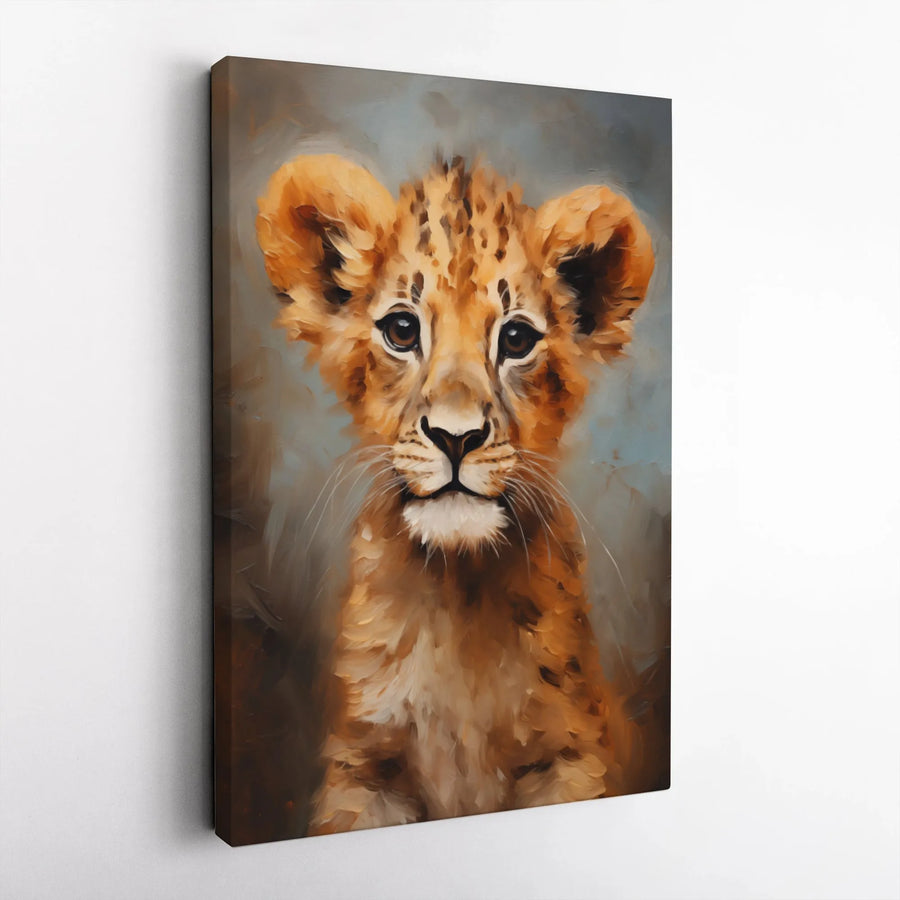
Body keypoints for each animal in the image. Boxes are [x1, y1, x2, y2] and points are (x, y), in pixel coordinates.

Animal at [255, 153, 655, 835]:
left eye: (516, 340)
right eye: (401, 330)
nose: (456, 436)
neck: (457, 592)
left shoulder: (571, 756)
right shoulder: (365, 767)